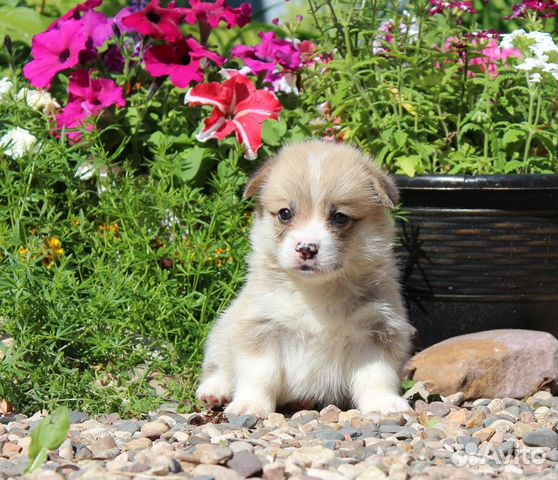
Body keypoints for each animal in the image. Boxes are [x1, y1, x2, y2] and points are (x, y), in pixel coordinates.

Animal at [197, 140, 416, 416]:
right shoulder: (260, 327)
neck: (315, 292)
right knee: (220, 366)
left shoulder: (377, 331)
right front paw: (251, 404)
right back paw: (215, 392)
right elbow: (259, 374)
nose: (306, 248)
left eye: (339, 217)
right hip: (223, 329)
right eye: (285, 214)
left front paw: (383, 403)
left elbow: (376, 375)